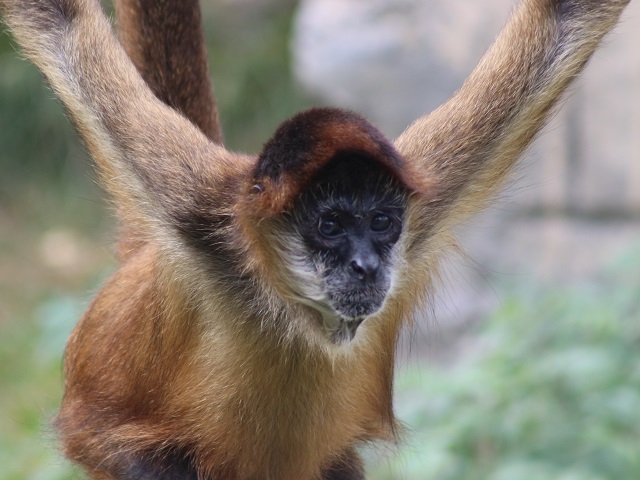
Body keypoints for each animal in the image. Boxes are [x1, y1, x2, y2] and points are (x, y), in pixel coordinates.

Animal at [0, 0, 631, 478]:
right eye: (330, 226)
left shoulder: (425, 201)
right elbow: (60, 24)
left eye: (381, 223)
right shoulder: (199, 215)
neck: (298, 317)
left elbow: (562, 22)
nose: (366, 266)